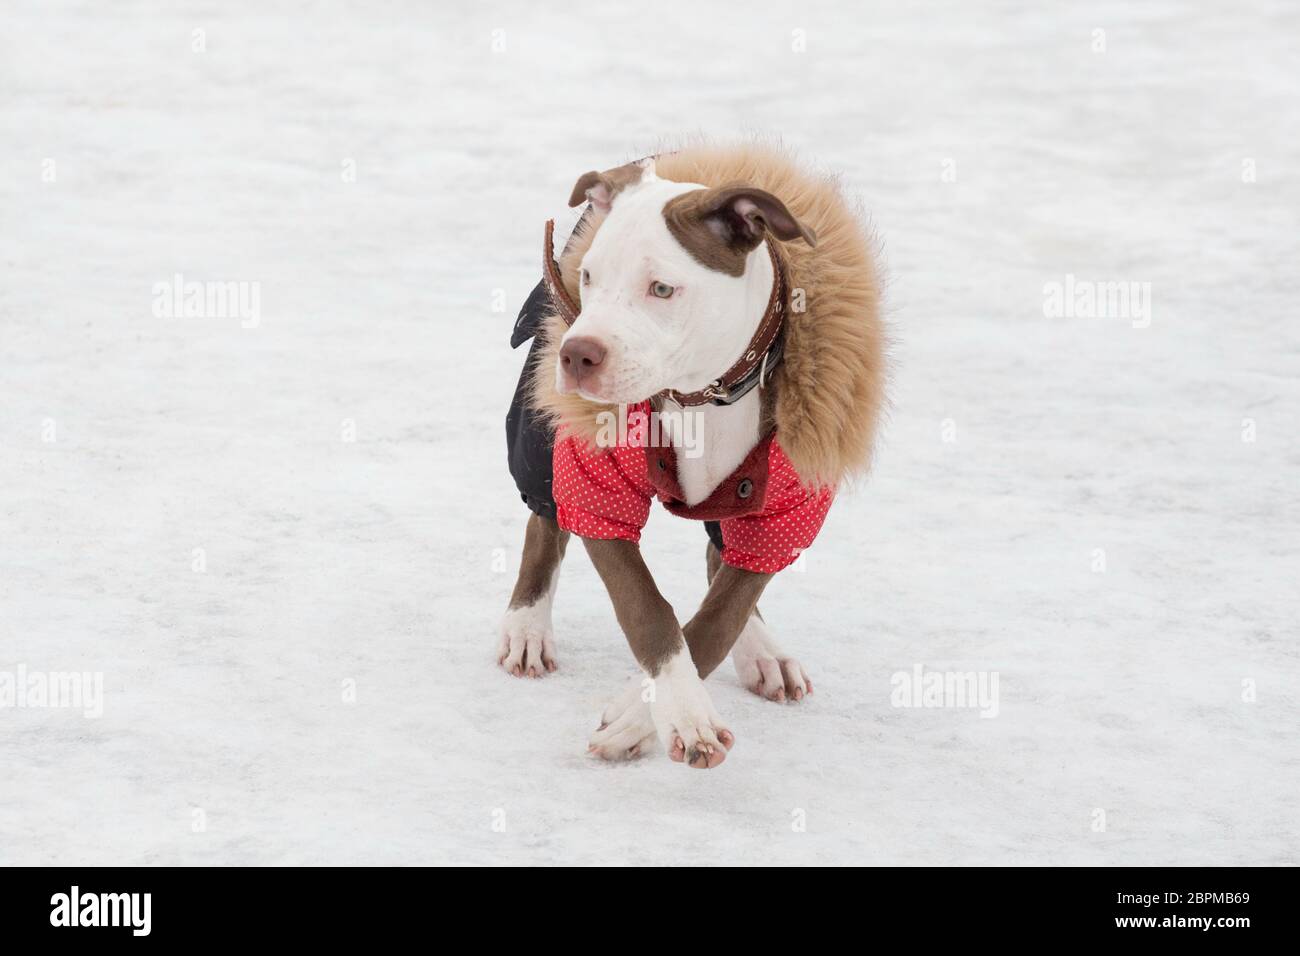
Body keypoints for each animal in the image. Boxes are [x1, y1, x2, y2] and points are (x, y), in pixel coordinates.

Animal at [496, 141, 883, 770]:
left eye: (661, 289)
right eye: (588, 276)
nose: (577, 354)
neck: (704, 393)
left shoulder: (784, 510)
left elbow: (719, 618)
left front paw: (640, 718)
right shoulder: (598, 484)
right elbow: (647, 608)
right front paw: (678, 715)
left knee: (721, 557)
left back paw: (764, 652)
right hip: (543, 422)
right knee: (546, 517)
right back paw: (527, 627)